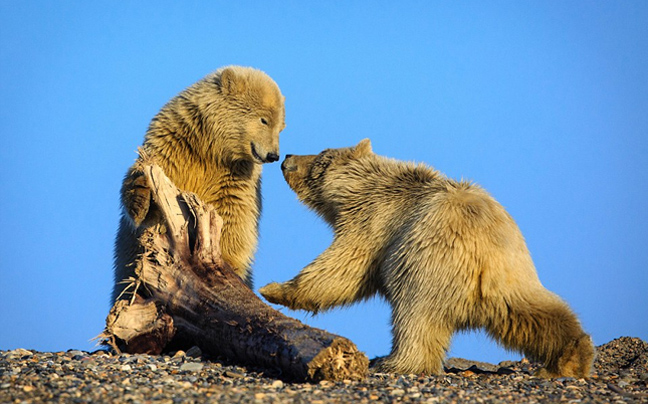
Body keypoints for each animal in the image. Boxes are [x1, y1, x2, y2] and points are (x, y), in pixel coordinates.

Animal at [112, 64, 284, 302]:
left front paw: (228, 262)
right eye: (264, 120)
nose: (273, 155)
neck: (211, 149)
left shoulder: (237, 174)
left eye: (281, 126)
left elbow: (235, 213)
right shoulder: (174, 143)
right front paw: (141, 195)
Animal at [260, 140, 596, 378]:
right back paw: (570, 358)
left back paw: (395, 362)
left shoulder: (373, 221)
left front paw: (274, 289)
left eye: (321, 157)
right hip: (513, 274)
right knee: (536, 312)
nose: (288, 158)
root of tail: (484, 255)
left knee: (416, 316)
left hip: (427, 263)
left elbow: (344, 266)